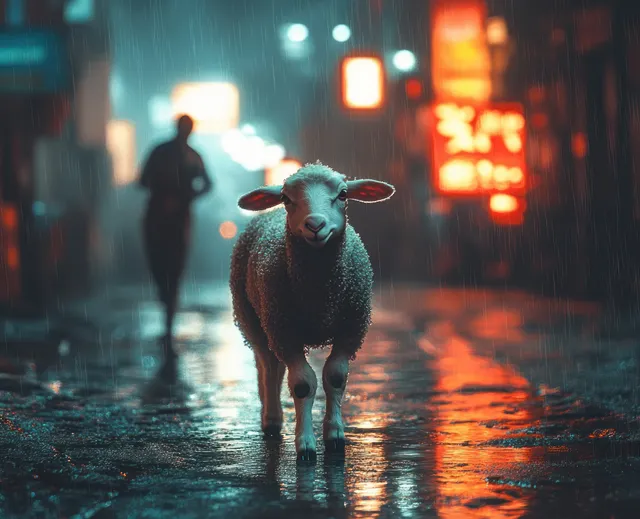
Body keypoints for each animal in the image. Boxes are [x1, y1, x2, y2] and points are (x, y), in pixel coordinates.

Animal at [230, 162, 395, 461]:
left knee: (275, 367)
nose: (315, 225)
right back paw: (272, 420)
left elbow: (335, 377)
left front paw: (335, 436)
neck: (319, 295)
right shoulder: (284, 330)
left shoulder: (351, 329)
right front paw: (305, 444)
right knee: (268, 366)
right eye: (286, 198)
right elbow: (302, 385)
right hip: (254, 320)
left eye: (343, 194)